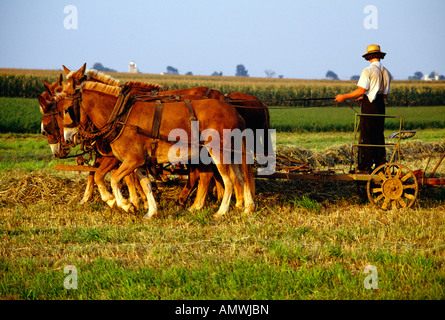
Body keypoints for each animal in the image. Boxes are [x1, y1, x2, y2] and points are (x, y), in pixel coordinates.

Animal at [59, 77, 253, 218]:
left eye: (67, 109)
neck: (121, 116)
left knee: (229, 180)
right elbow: (145, 185)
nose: (68, 137)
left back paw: (221, 211)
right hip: (231, 153)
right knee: (241, 177)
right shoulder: (141, 163)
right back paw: (246, 208)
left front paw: (124, 204)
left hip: (219, 152)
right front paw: (151, 211)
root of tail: (235, 113)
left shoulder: (132, 160)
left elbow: (113, 179)